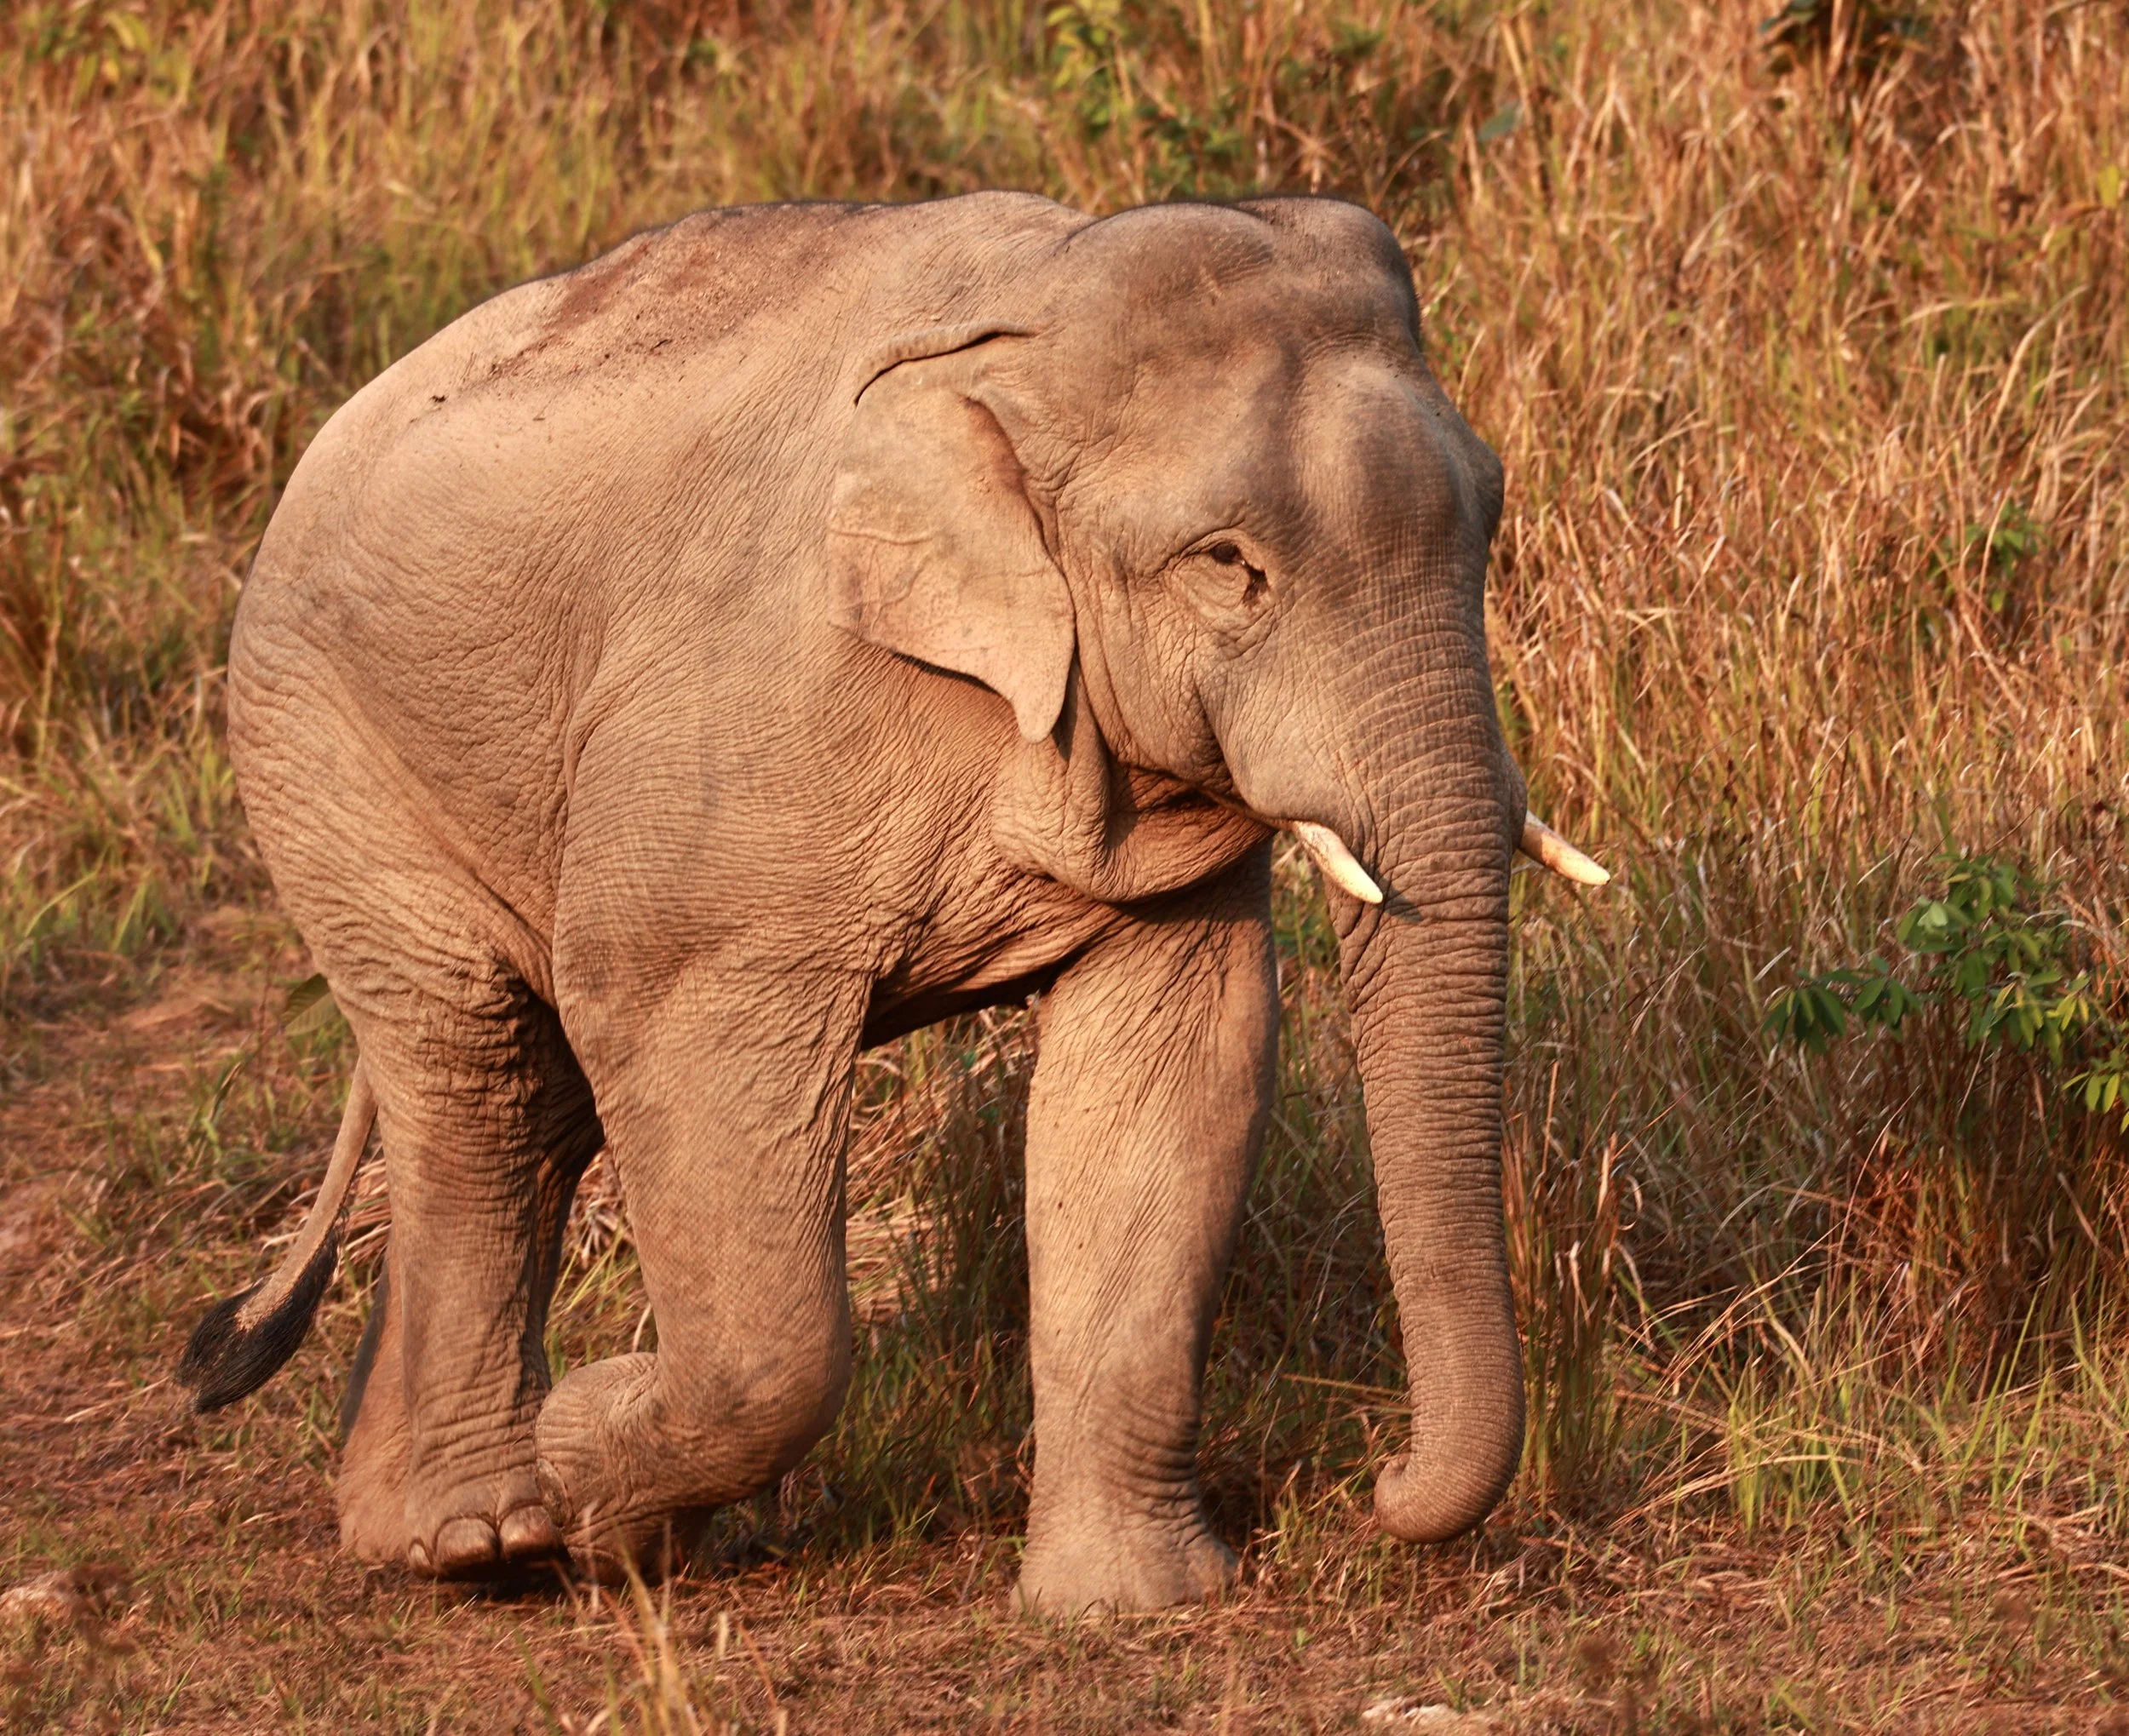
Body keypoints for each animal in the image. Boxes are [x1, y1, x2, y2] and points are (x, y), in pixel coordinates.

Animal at [177, 190, 1607, 1615]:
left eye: (1488, 521)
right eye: (1226, 562)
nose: (1378, 1486)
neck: (1028, 319)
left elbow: (1170, 1065)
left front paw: (1124, 1604)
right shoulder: (734, 748)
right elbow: (681, 1043)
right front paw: (587, 1451)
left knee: (533, 1106)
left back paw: (423, 1522)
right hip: (325, 750)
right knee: (482, 1070)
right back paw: (484, 1531)